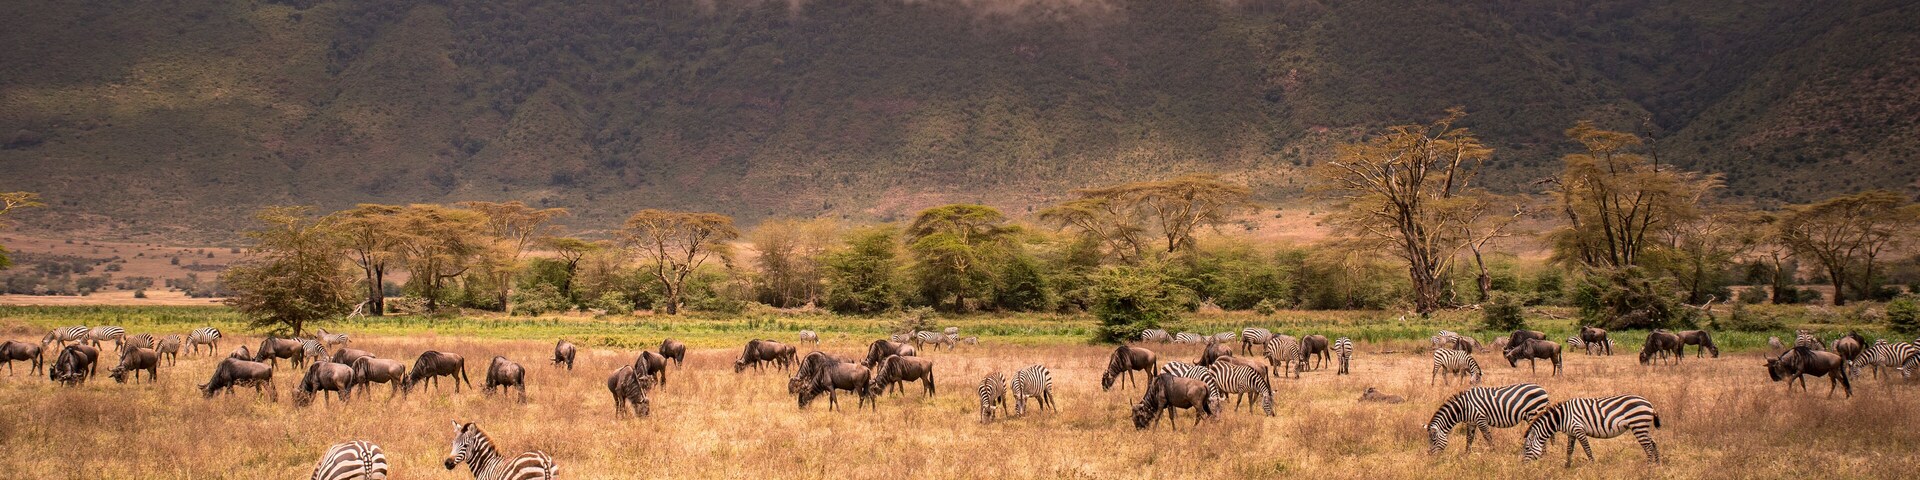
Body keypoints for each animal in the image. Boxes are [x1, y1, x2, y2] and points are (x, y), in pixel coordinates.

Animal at [1521, 395, 1662, 466]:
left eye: (1527, 448)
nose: (1523, 466)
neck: (1562, 417)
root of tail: (1649, 404)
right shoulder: (1571, 433)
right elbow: (1569, 450)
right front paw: (1567, 466)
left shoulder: (1578, 429)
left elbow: (1587, 449)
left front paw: (1593, 465)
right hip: (1642, 427)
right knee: (1653, 443)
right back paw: (1657, 465)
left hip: (1638, 425)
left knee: (1648, 447)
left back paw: (1648, 467)